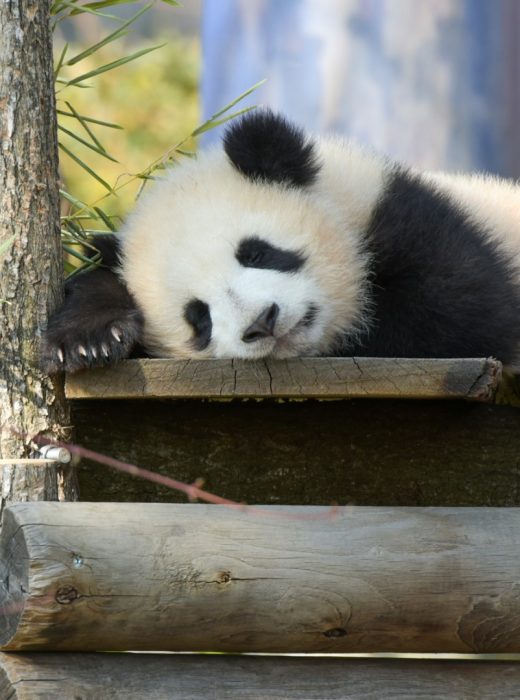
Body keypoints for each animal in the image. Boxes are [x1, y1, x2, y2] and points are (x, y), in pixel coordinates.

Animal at [40, 108, 520, 372]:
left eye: (258, 252)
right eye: (198, 318)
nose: (261, 322)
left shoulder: (413, 219)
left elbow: (461, 317)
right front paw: (90, 336)